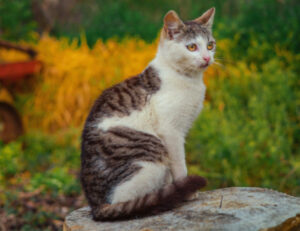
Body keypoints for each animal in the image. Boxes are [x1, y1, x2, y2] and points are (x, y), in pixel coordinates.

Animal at [79, 6, 216, 220]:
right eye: (192, 47)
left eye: (210, 45)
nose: (207, 58)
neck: (189, 79)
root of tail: (96, 206)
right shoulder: (171, 132)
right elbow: (179, 164)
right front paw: (187, 190)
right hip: (152, 150)